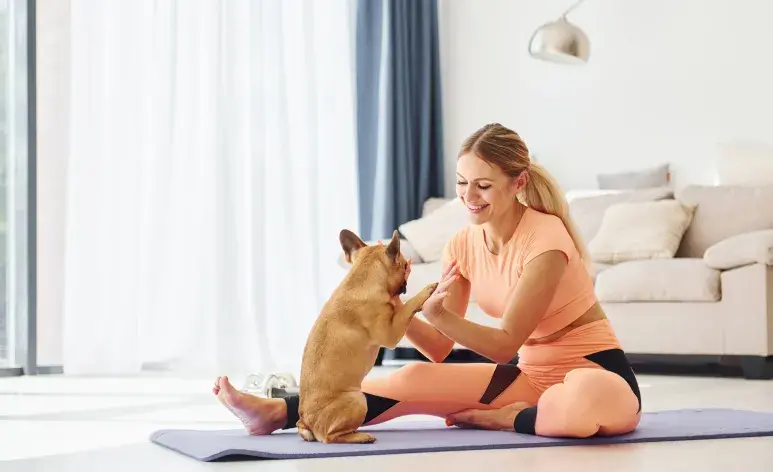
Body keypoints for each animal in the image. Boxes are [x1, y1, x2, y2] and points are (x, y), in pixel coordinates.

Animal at [296, 229, 438, 442]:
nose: (408, 270)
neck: (361, 278)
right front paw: (425, 292)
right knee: (332, 437)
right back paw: (360, 437)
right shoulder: (390, 334)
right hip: (358, 399)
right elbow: (406, 307)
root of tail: (306, 421)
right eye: (404, 265)